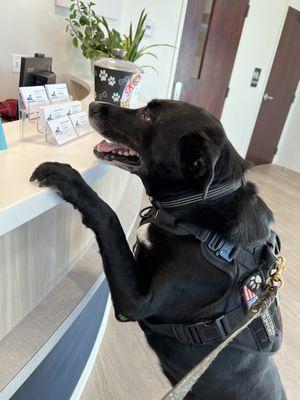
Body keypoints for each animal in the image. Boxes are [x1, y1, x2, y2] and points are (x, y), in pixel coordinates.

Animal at [31, 101, 286, 400]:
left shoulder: (136, 303)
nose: (93, 104)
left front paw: (70, 181)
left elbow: (109, 217)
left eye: (147, 116)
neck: (201, 203)